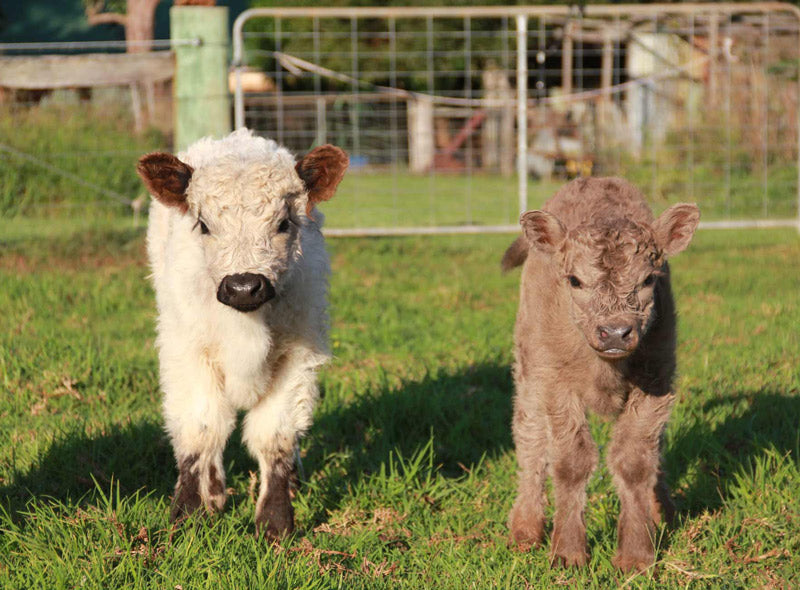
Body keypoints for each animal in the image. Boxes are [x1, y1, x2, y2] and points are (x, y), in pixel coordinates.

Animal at [137, 131, 346, 540]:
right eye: (203, 225)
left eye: (284, 223)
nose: (244, 286)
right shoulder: (186, 353)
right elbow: (199, 429)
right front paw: (188, 514)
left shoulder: (297, 358)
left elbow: (276, 436)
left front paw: (276, 523)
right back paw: (216, 491)